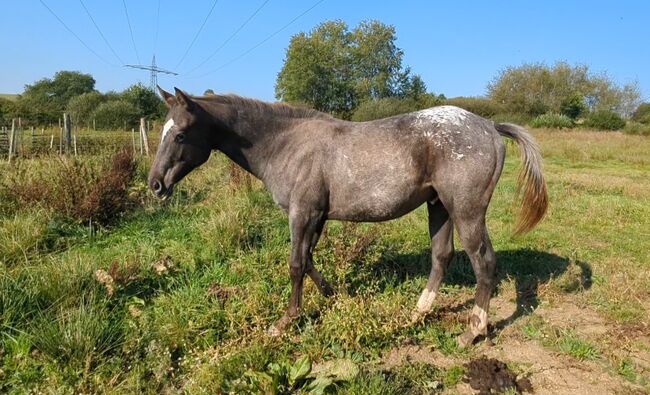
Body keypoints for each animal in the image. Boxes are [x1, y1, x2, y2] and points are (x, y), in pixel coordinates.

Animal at [149, 86, 544, 346]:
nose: (155, 185)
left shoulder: (303, 212)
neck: (286, 143)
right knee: (441, 257)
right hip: (439, 206)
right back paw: (417, 314)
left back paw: (472, 331)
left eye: (180, 134)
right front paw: (332, 295)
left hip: (466, 211)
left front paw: (286, 321)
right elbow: (308, 259)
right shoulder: (316, 215)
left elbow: (296, 263)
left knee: (484, 263)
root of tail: (490, 127)